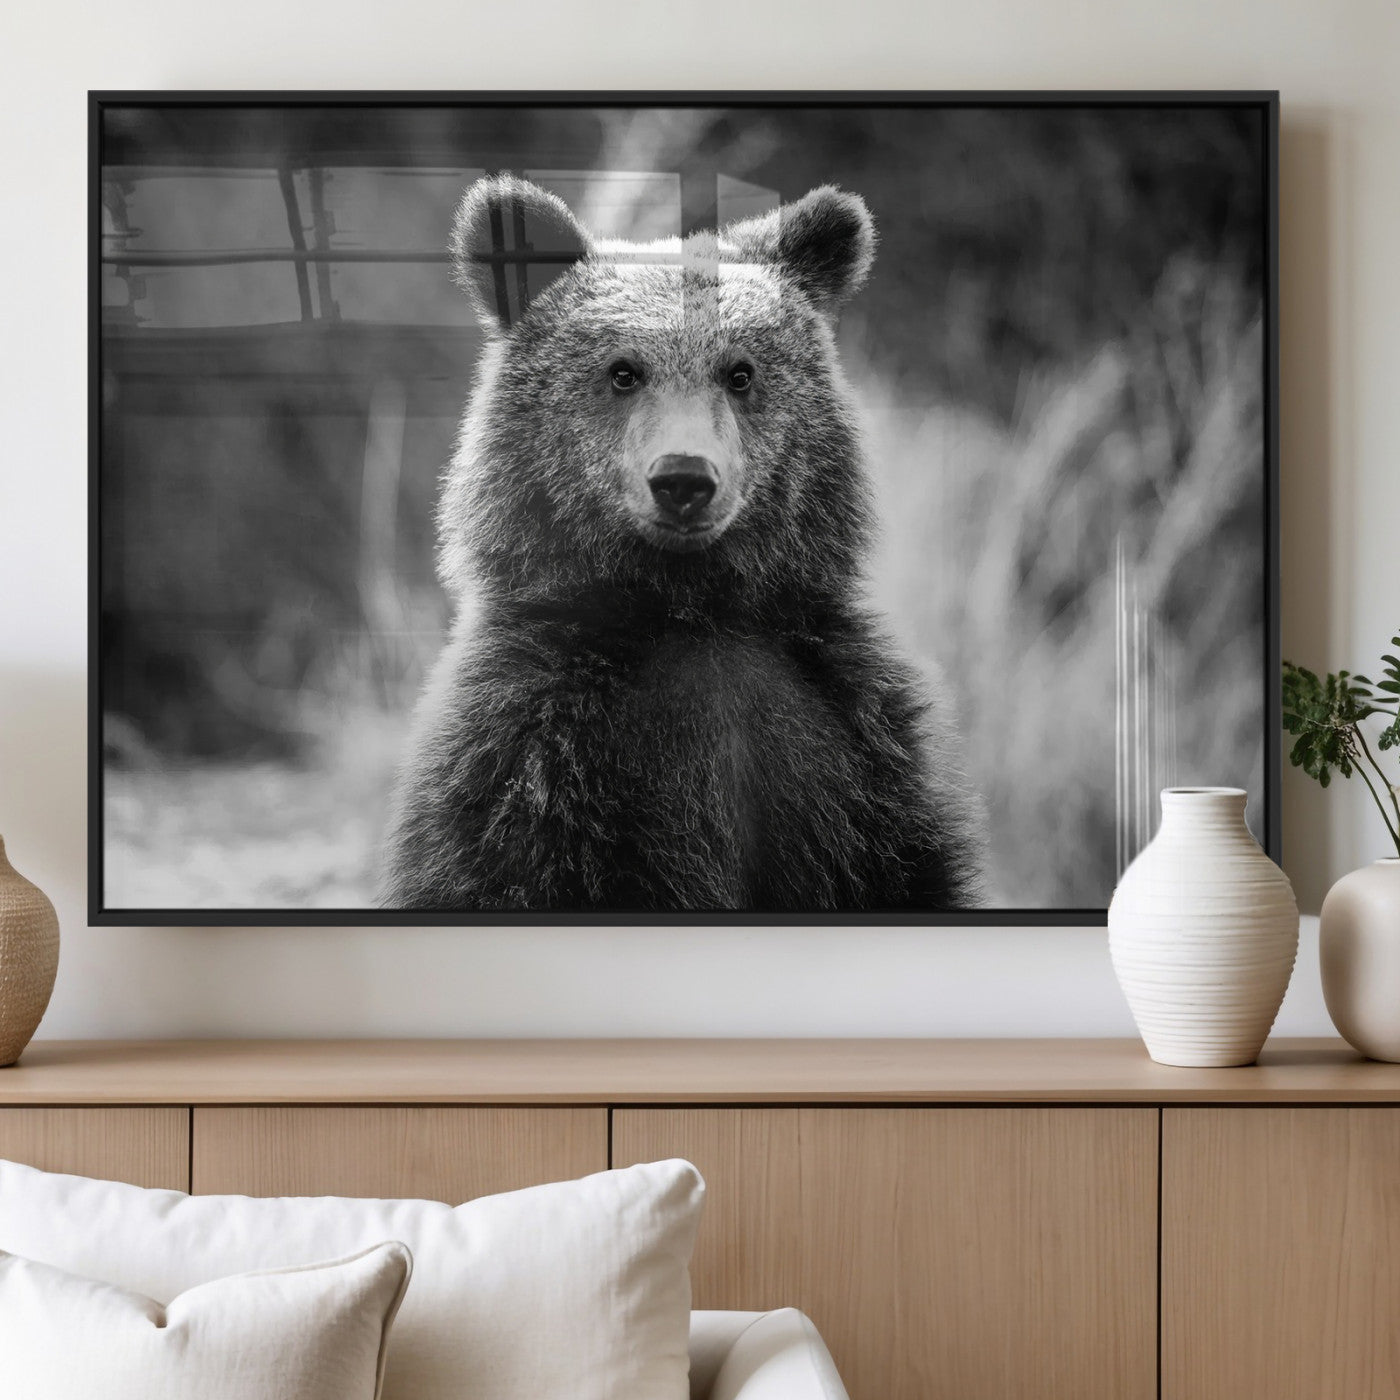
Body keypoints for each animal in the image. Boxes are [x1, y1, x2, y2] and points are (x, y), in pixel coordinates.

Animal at [380, 174, 983, 913]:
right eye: (623, 371)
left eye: (740, 372)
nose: (684, 478)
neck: (691, 610)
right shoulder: (527, 757)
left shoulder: (857, 749)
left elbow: (906, 868)